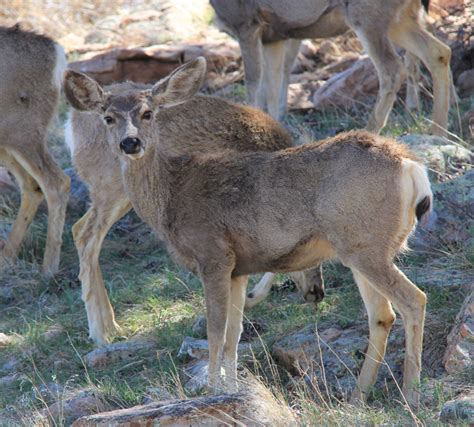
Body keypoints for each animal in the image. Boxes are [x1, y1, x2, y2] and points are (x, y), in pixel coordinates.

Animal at [0, 25, 69, 274]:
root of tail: (57, 53)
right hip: (8, 142)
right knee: (32, 186)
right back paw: (7, 258)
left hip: (23, 132)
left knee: (56, 183)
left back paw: (48, 269)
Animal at [65, 78, 322, 346]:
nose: (317, 292)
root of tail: (70, 123)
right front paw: (252, 297)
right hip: (112, 187)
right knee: (85, 235)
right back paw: (100, 332)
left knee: (79, 229)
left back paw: (112, 327)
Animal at [211, 0, 452, 135]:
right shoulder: (274, 36)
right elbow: (270, 89)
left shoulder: (246, 24)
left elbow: (253, 85)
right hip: (397, 20)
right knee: (438, 52)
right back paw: (437, 132)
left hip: (366, 16)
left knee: (392, 69)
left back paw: (369, 132)